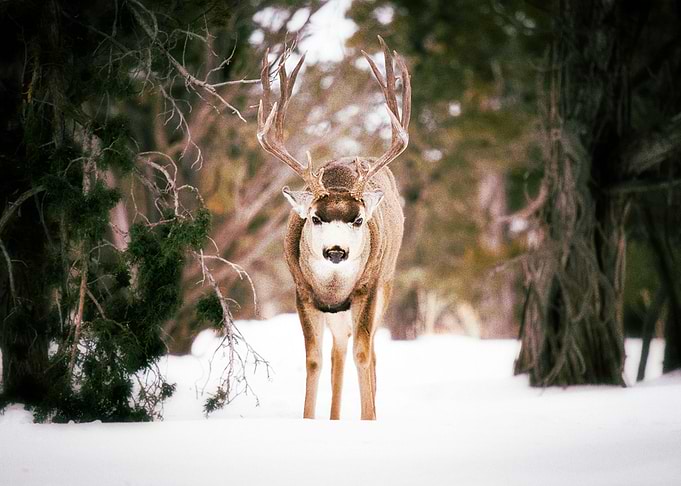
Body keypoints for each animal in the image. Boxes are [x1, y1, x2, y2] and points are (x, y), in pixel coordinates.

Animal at [256, 37, 410, 420]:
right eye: (314, 217)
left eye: (358, 219)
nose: (336, 251)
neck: (332, 289)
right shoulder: (301, 292)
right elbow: (313, 360)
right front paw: (309, 420)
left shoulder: (369, 289)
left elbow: (363, 353)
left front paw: (369, 418)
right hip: (338, 312)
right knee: (338, 348)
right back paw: (334, 417)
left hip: (386, 284)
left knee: (366, 349)